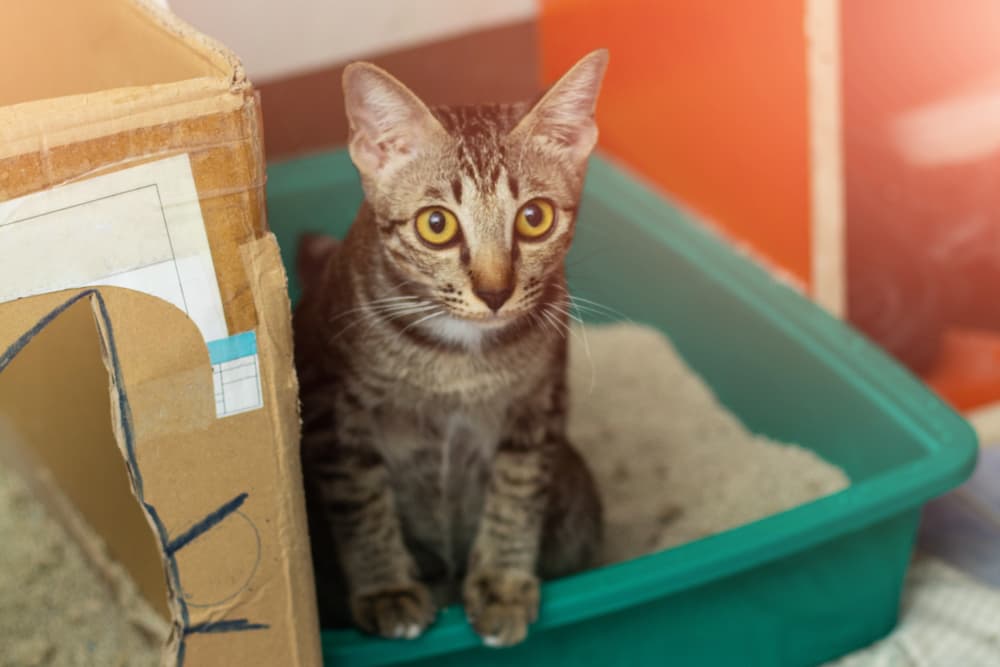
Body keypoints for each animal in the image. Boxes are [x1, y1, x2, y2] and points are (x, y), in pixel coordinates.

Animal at [292, 48, 608, 648]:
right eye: (435, 225)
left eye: (535, 218)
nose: (495, 291)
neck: (458, 358)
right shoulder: (329, 406)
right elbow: (360, 501)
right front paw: (387, 590)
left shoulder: (539, 405)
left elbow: (517, 491)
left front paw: (502, 585)